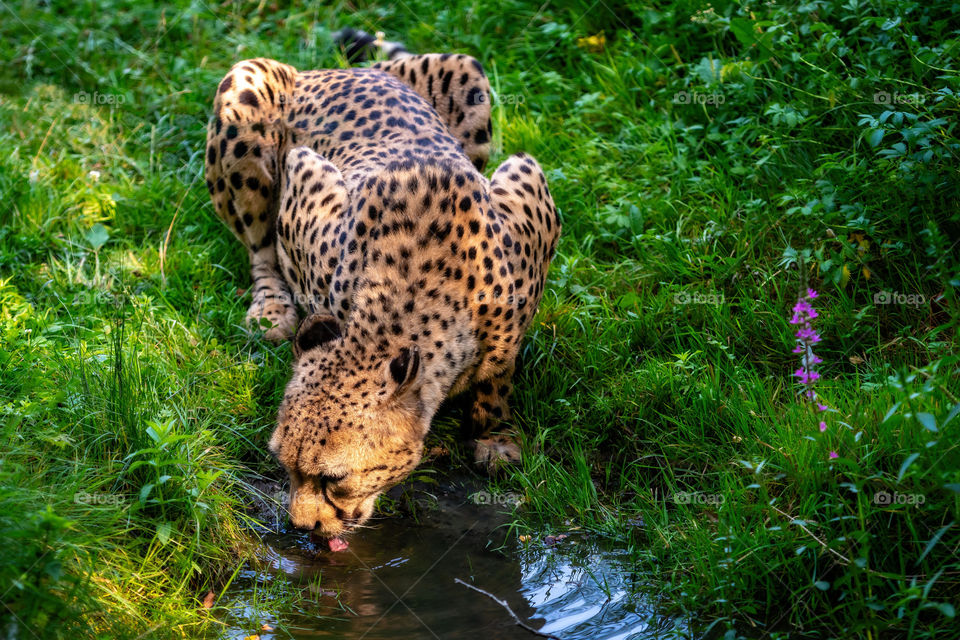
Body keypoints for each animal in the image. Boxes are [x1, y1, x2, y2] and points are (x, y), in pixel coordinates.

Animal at [204, 28, 560, 542]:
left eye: (335, 478)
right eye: (283, 465)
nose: (302, 526)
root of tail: (338, 70)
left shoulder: (528, 183)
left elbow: (500, 367)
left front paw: (495, 435)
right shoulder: (304, 177)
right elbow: (280, 244)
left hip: (469, 79)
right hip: (243, 88)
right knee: (257, 245)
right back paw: (271, 308)